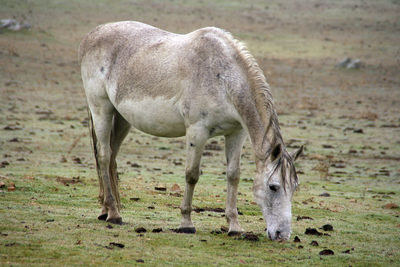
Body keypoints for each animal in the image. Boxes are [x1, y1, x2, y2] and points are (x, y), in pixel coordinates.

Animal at [79, 21, 304, 242]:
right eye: (273, 186)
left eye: (294, 187)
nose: (282, 235)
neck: (222, 79)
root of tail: (93, 34)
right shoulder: (197, 132)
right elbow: (192, 175)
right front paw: (186, 223)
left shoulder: (236, 133)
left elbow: (233, 175)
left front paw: (234, 227)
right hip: (101, 109)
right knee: (104, 155)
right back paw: (114, 214)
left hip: (122, 118)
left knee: (111, 156)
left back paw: (105, 210)